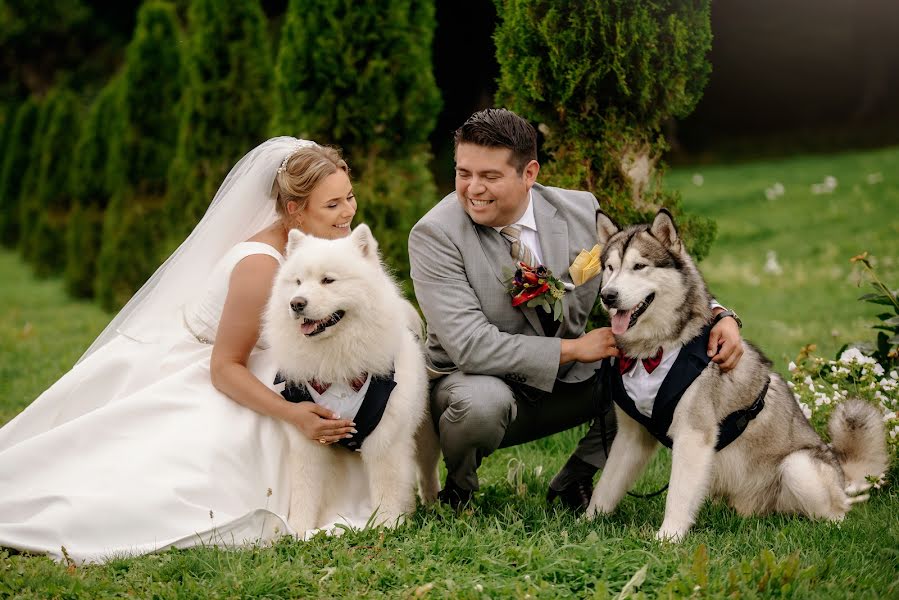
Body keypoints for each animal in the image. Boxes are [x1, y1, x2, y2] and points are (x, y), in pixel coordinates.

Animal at [264, 226, 440, 536]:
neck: (335, 362)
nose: (296, 303)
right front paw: (299, 531)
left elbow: (387, 489)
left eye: (328, 280)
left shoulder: (385, 440)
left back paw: (431, 503)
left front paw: (387, 527)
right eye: (297, 282)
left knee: (427, 469)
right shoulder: (308, 437)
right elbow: (304, 491)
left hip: (425, 433)